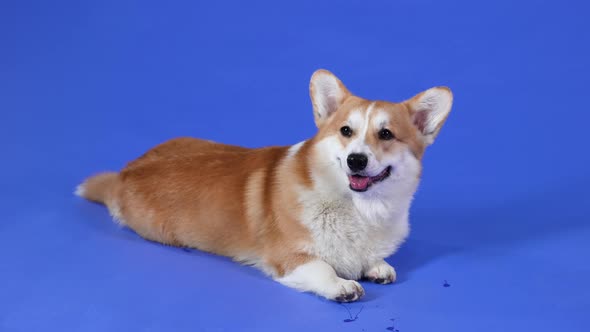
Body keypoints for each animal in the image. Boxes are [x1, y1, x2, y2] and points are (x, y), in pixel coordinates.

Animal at [77, 69, 454, 300]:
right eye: (346, 131)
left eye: (386, 134)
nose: (356, 161)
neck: (358, 208)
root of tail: (125, 173)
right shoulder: (288, 256)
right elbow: (322, 266)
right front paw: (342, 285)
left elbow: (375, 260)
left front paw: (376, 266)